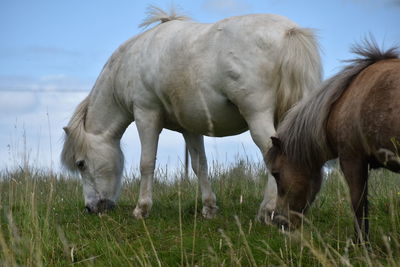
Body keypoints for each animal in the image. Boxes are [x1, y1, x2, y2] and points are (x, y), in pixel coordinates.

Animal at [60, 6, 322, 221]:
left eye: (81, 163)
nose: (91, 208)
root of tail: (288, 31)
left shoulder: (146, 114)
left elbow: (147, 162)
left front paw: (141, 209)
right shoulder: (191, 128)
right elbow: (200, 165)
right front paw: (209, 208)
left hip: (257, 114)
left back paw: (266, 210)